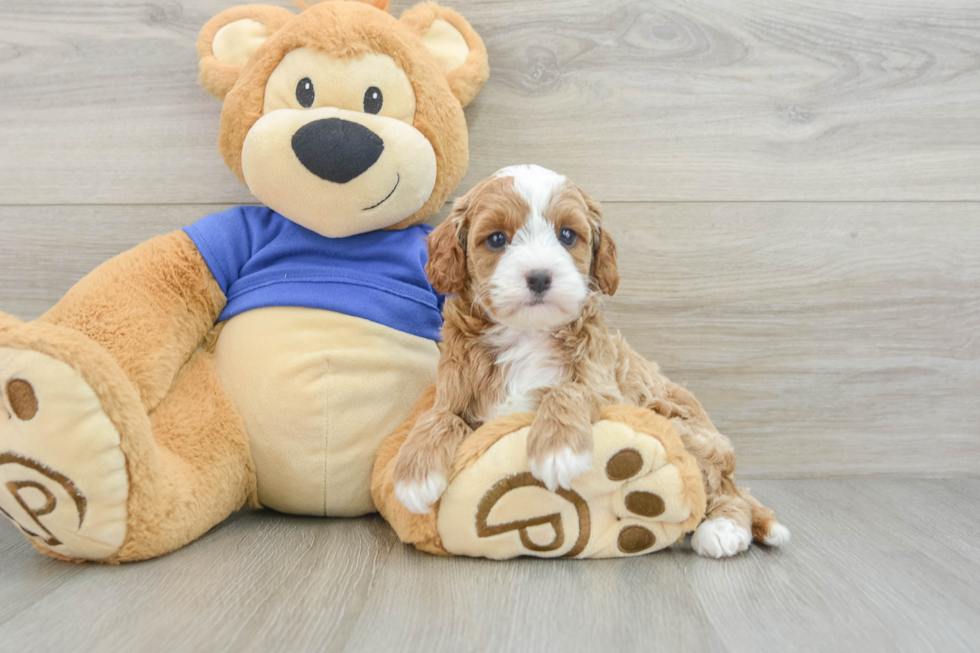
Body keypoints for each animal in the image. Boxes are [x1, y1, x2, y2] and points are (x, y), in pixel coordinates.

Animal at [390, 163, 788, 556]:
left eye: (567, 235)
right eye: (497, 239)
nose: (539, 277)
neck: (525, 335)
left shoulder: (608, 390)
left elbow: (567, 389)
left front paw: (558, 449)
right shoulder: (455, 388)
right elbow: (439, 416)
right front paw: (414, 473)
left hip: (684, 427)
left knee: (725, 488)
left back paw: (723, 528)